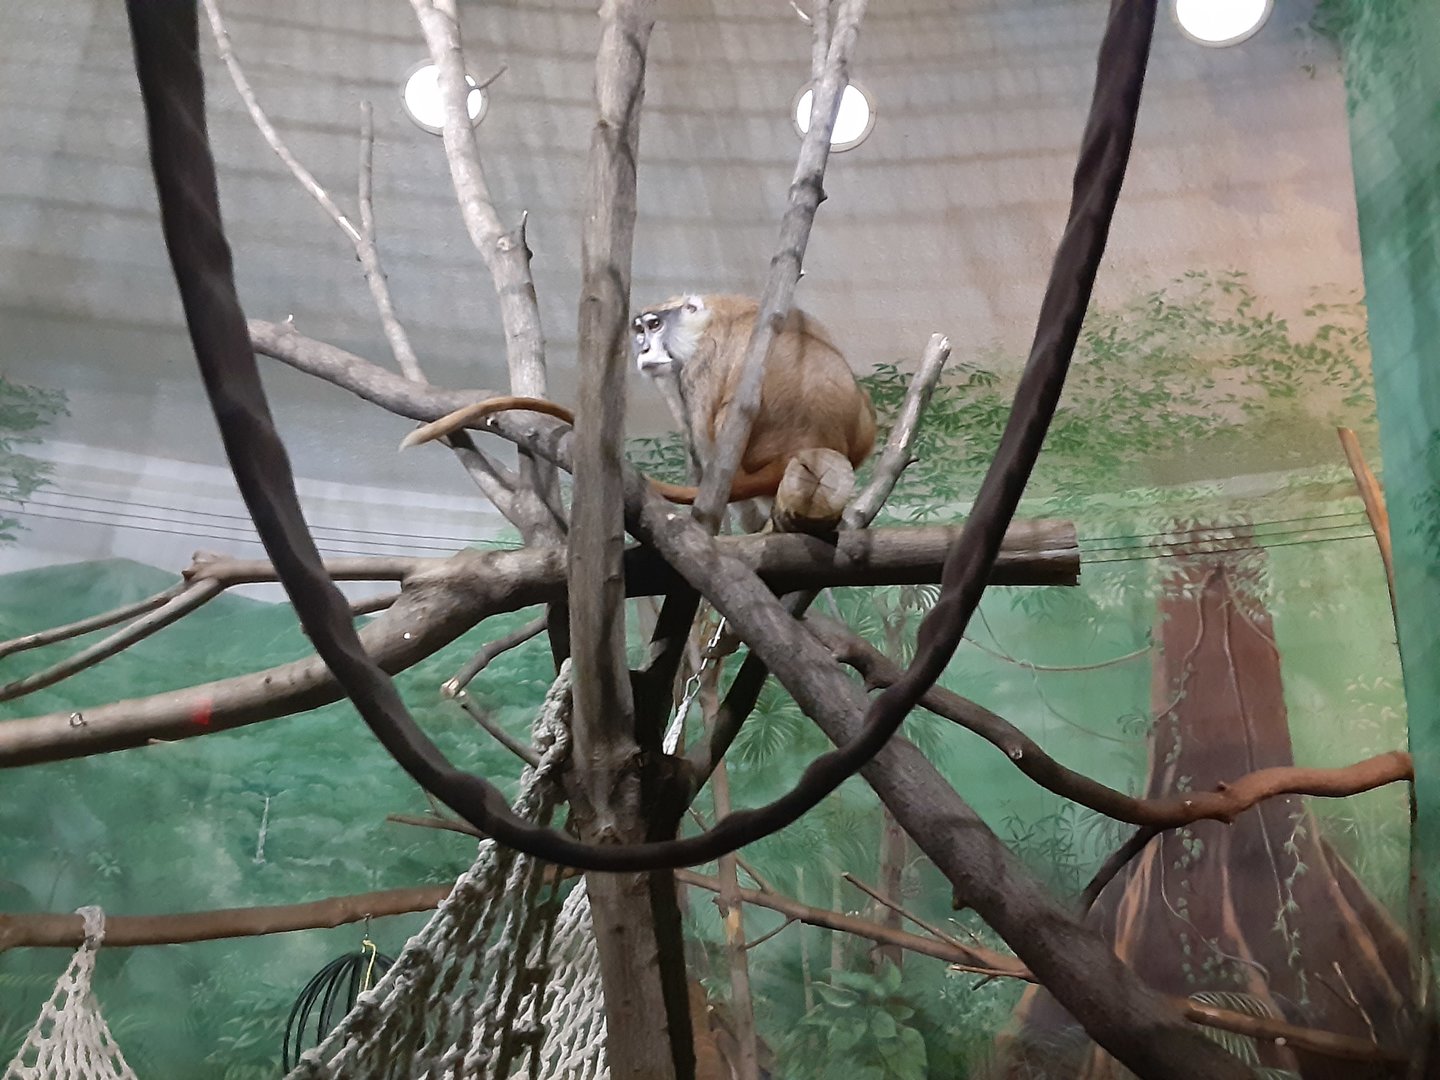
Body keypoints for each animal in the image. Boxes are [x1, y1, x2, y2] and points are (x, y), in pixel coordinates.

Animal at [400, 293, 876, 507]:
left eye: (654, 324)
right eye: (640, 330)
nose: (644, 349)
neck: (708, 316)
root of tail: (811, 440)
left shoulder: (703, 359)